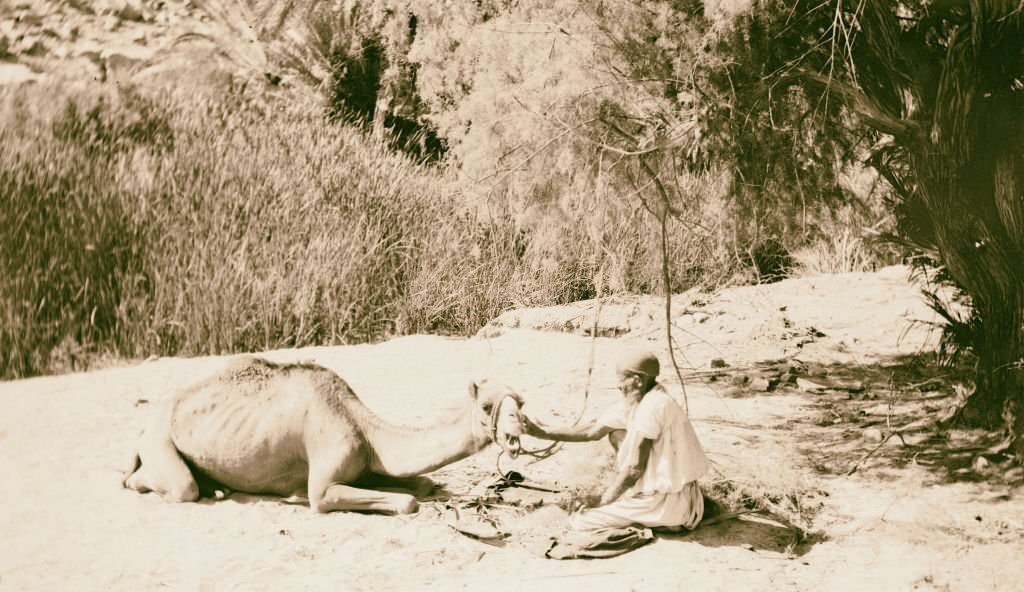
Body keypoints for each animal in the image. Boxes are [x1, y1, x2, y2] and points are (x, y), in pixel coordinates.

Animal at [122, 354, 524, 512]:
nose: (515, 433)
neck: (364, 428)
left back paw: (218, 489)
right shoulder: (325, 484)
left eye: (520, 401)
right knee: (172, 486)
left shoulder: (365, 465)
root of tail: (148, 421)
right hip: (159, 442)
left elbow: (421, 484)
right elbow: (407, 502)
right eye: (487, 406)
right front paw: (295, 496)